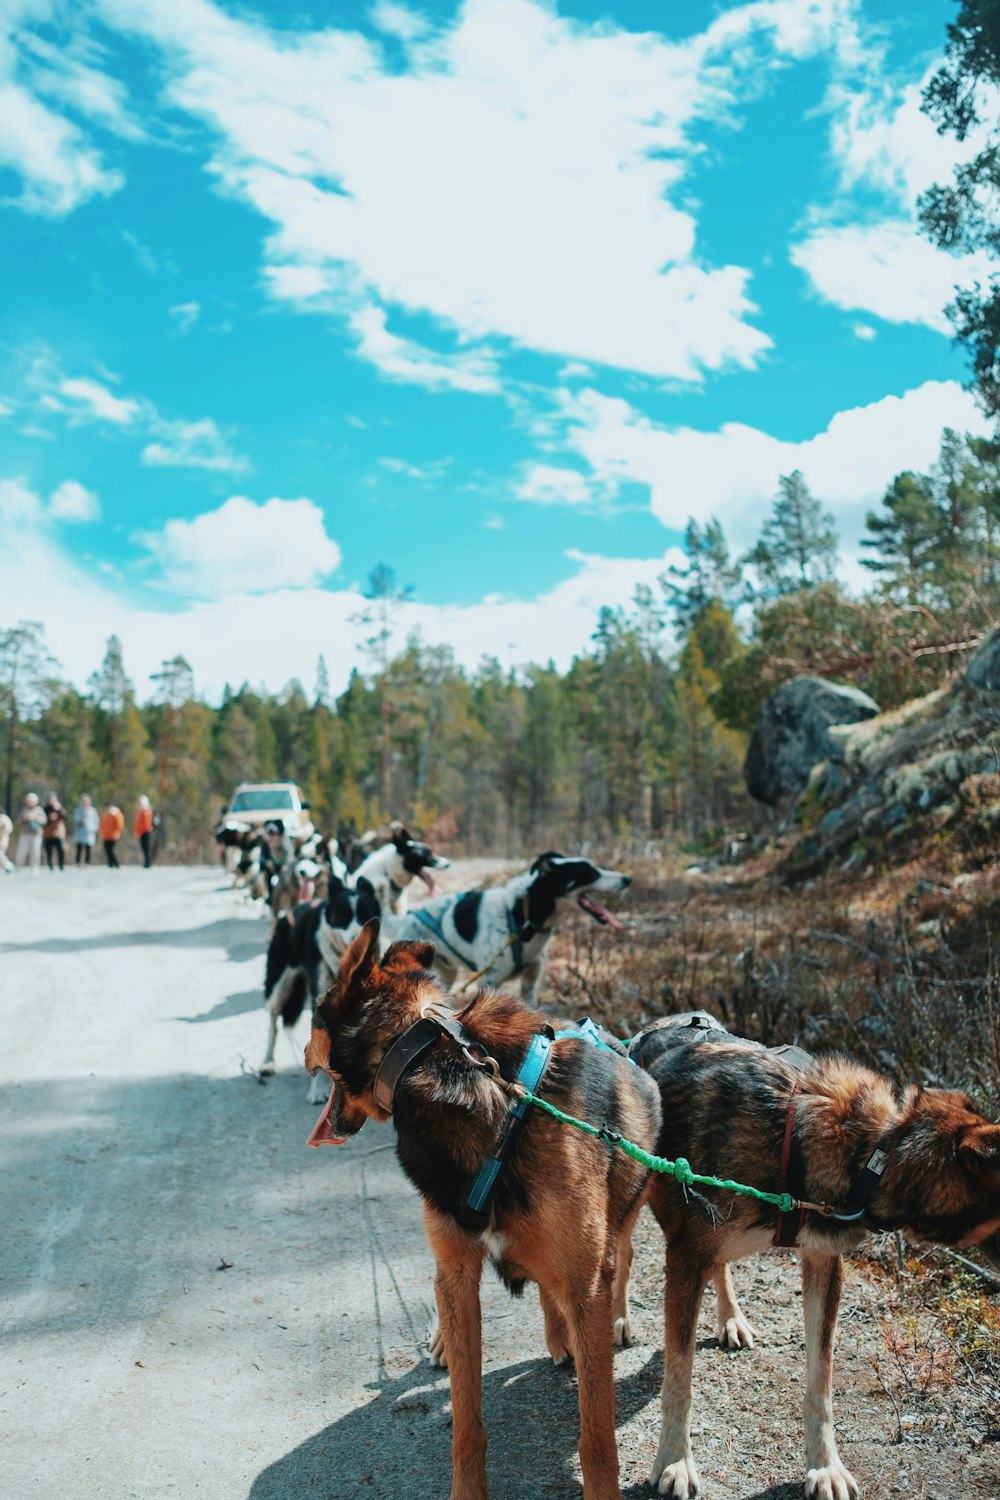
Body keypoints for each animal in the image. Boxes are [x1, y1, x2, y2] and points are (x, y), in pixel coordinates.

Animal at [305, 912, 665, 1500]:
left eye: (316, 1012)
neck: (438, 1058)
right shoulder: (458, 1270)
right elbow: (467, 1418)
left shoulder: (585, 1280)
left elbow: (597, 1437)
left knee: (619, 1258)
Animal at [386, 852, 629, 1002]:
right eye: (589, 872)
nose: (627, 879)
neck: (523, 916)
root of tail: (406, 918)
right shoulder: (490, 980)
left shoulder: (531, 980)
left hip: (446, 974)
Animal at [629, 1014, 1000, 1494]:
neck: (873, 1151)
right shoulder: (685, 1258)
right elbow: (679, 1378)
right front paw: (675, 1460)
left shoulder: (823, 1262)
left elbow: (820, 1384)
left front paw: (825, 1466)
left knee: (721, 1267)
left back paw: (731, 1319)